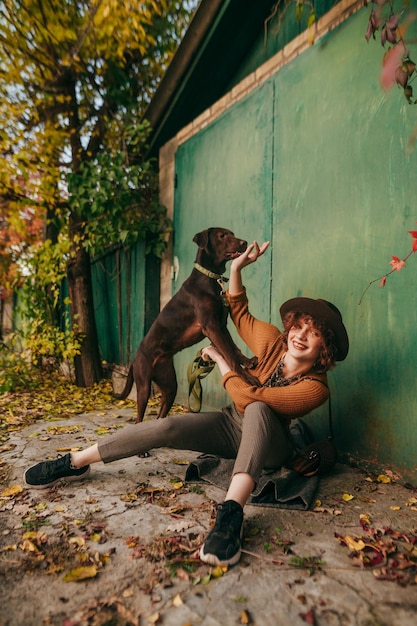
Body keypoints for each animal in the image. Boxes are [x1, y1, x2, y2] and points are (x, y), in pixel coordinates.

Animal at [114, 227, 256, 422]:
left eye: (232, 234)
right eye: (222, 236)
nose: (244, 243)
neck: (209, 277)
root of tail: (134, 359)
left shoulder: (221, 325)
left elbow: (234, 349)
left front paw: (248, 362)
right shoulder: (211, 326)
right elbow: (229, 355)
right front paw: (247, 379)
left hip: (169, 385)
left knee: (161, 413)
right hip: (143, 386)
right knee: (139, 418)